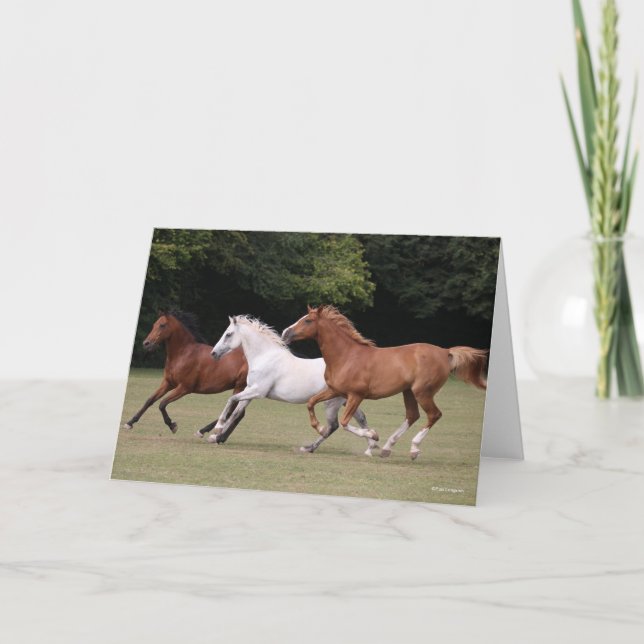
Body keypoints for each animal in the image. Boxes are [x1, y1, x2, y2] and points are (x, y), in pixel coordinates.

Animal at [209, 315, 379, 455]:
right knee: (359, 419)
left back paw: (310, 447)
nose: (214, 353)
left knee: (333, 426)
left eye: (228, 334)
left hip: (332, 402)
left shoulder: (258, 392)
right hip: (346, 400)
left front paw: (218, 429)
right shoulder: (250, 391)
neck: (265, 357)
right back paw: (371, 445)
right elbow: (236, 412)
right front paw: (216, 437)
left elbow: (231, 401)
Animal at [281, 305, 488, 461]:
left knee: (434, 415)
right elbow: (311, 403)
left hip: (422, 392)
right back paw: (388, 448)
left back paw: (414, 449)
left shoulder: (356, 395)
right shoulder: (335, 391)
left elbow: (345, 422)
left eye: (308, 320)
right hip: (408, 392)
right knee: (412, 416)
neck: (347, 356)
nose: (285, 333)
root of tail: (445, 352)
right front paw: (320, 428)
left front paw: (373, 436)